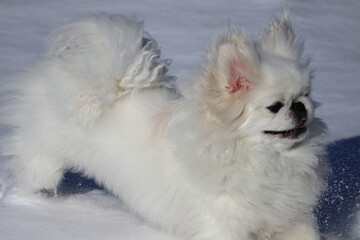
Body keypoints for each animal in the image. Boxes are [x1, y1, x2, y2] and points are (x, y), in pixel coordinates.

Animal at [0, 12, 326, 240]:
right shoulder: (223, 226)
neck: (265, 159)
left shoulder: (291, 218)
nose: (300, 108)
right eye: (275, 106)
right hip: (44, 164)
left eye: (307, 94)